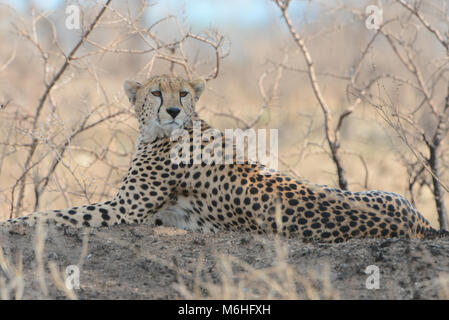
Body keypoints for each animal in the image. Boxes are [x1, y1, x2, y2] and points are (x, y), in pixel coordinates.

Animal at [1, 73, 446, 242]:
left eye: (183, 93)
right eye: (156, 92)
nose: (173, 110)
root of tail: (421, 225)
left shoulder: (125, 210)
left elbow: (56, 213)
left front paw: (13, 223)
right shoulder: (142, 213)